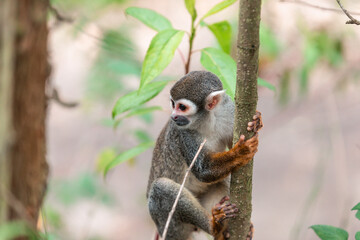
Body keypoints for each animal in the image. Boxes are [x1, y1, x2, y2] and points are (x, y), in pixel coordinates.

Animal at [146, 71, 262, 240]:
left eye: (181, 107)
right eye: (173, 104)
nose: (173, 116)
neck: (208, 119)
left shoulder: (228, 110)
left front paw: (256, 121)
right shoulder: (183, 133)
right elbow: (204, 170)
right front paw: (241, 151)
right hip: (171, 227)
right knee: (160, 188)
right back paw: (215, 226)